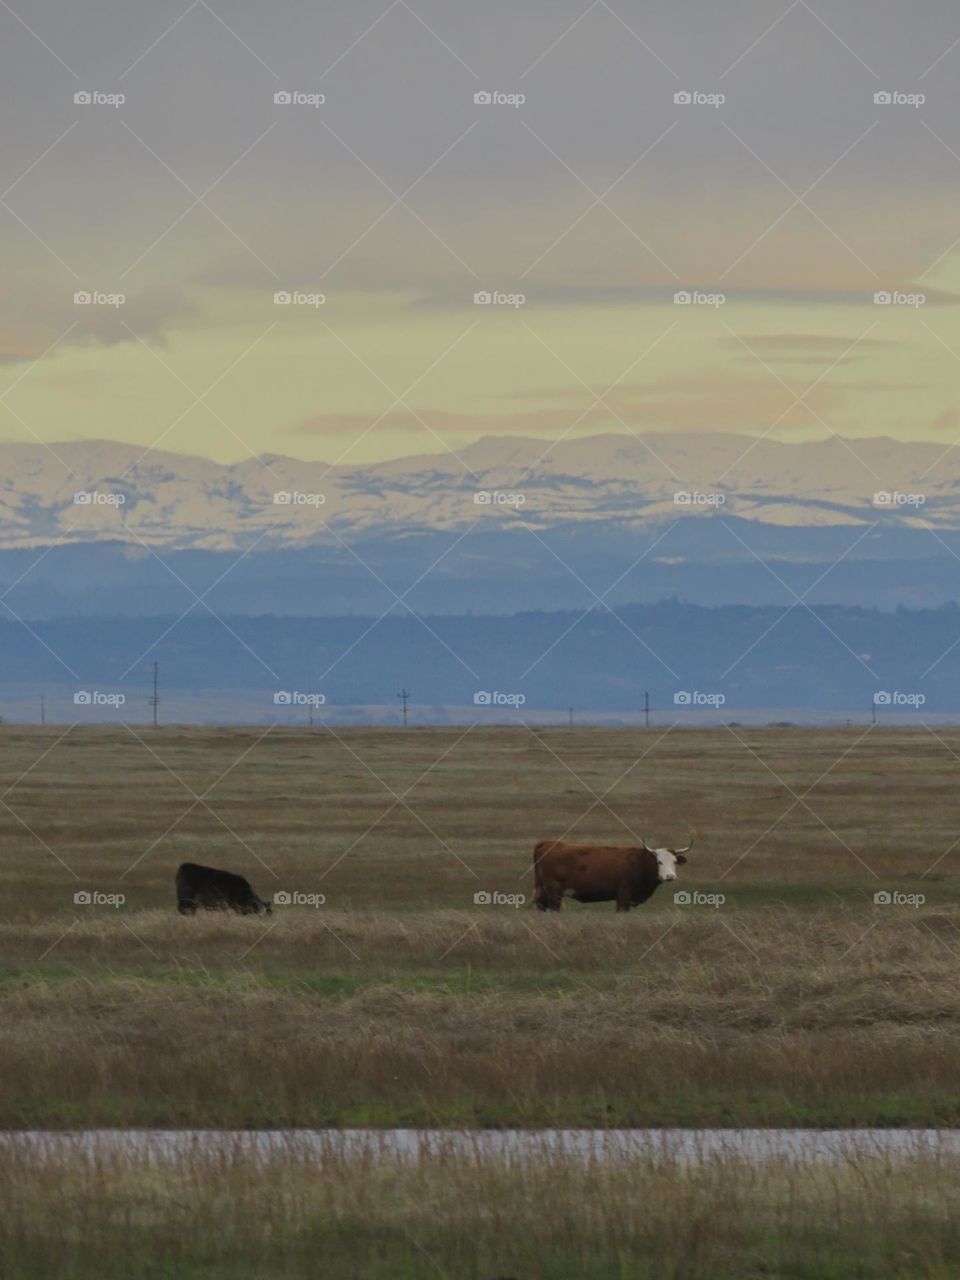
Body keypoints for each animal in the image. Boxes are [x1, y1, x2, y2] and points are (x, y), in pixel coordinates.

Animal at [532, 836, 691, 912]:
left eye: (675, 861)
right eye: (659, 862)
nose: (670, 876)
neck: (640, 863)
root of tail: (547, 843)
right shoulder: (623, 896)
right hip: (554, 892)